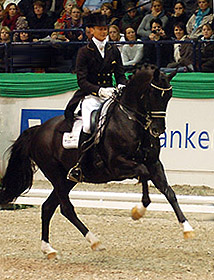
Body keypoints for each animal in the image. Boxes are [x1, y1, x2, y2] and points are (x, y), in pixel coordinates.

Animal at [0, 64, 194, 260]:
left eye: (169, 96)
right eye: (153, 94)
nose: (157, 129)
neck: (131, 121)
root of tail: (38, 130)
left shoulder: (154, 164)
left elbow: (169, 192)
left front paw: (187, 229)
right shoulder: (117, 165)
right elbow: (143, 173)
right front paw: (138, 211)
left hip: (67, 178)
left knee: (48, 207)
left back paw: (49, 249)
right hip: (55, 174)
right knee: (66, 208)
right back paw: (94, 241)